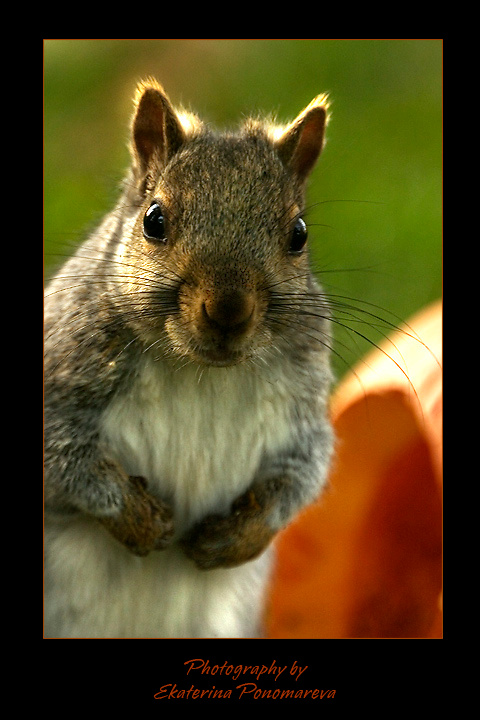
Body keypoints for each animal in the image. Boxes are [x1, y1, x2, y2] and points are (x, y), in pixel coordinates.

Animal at [44, 78, 334, 638]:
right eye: (154, 220)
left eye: (299, 235)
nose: (228, 311)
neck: (202, 372)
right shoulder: (62, 370)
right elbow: (63, 462)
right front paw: (139, 517)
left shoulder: (304, 401)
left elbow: (302, 472)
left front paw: (235, 537)